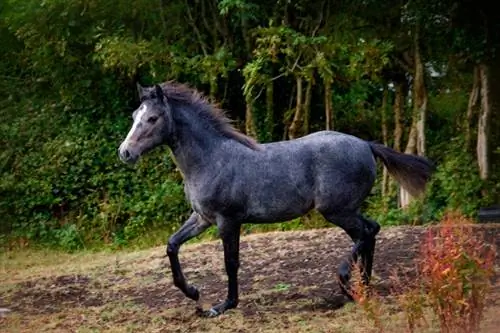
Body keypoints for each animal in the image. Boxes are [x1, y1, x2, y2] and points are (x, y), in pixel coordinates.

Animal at [118, 80, 434, 316]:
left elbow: (230, 262)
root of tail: (366, 145)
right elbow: (172, 245)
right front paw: (194, 293)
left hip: (337, 211)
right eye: (134, 116)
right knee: (371, 230)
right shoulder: (202, 218)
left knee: (366, 233)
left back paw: (346, 281)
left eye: (152, 118)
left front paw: (223, 306)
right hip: (347, 210)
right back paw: (363, 286)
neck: (211, 159)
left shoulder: (227, 221)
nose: (125, 153)